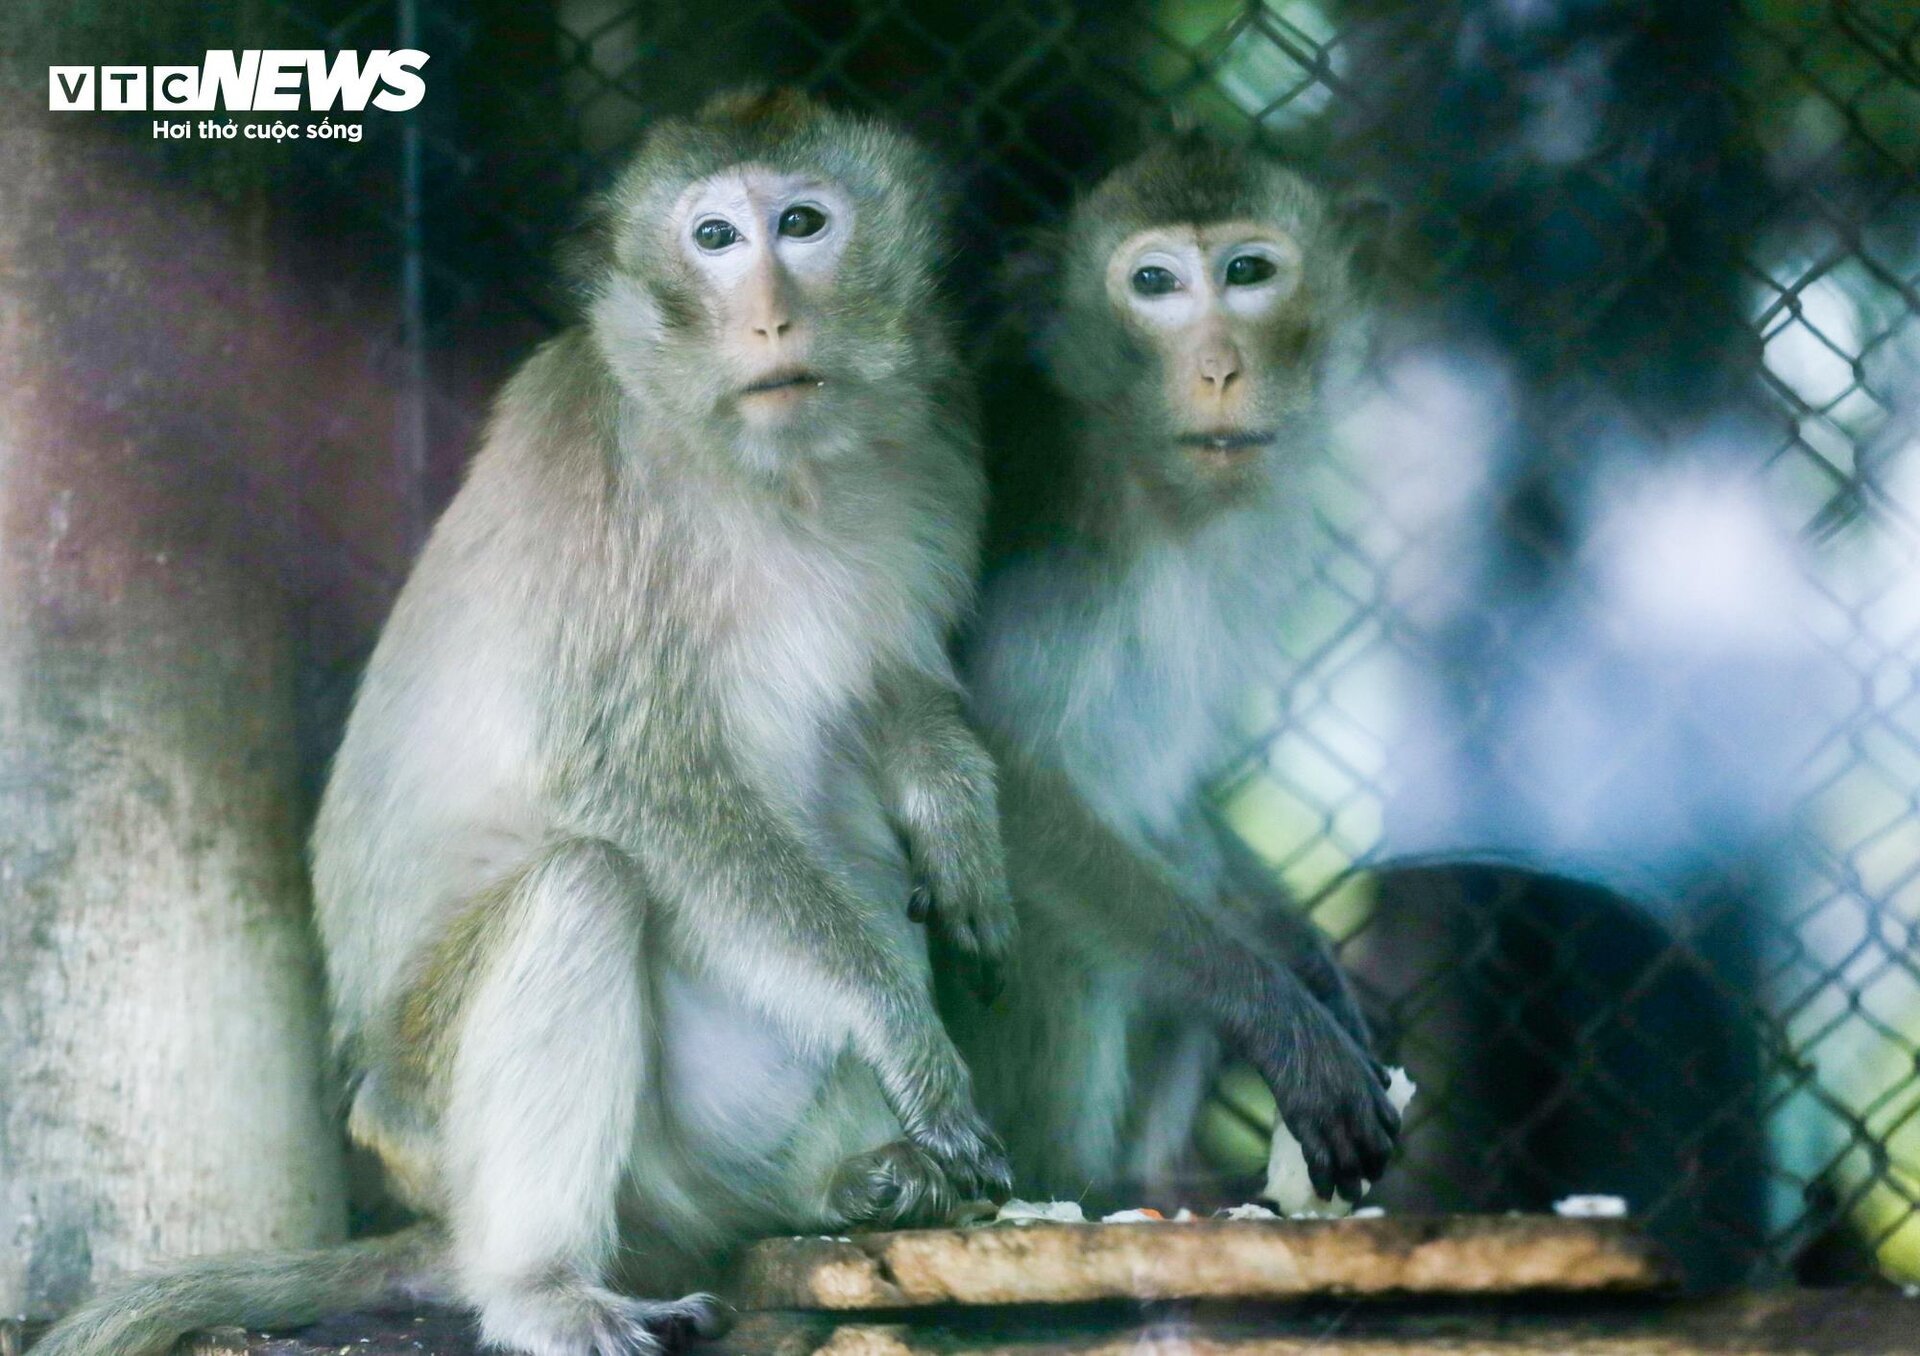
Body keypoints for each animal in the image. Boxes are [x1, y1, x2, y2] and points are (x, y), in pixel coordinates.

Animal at [37, 87, 1013, 1352]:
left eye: (803, 223)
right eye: (714, 239)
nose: (770, 319)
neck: (774, 471)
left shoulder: (942, 430)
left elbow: (896, 692)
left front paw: (956, 808)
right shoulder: (610, 474)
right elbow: (628, 779)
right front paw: (902, 1030)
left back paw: (858, 1180)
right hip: (449, 1120)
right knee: (583, 886)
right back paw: (541, 1288)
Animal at [940, 137, 1405, 1206]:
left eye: (1250, 271)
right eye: (1154, 284)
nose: (1220, 366)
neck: (1147, 483)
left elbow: (1177, 798)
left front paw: (1309, 967)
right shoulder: (1043, 517)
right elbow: (1009, 788)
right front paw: (1284, 1021)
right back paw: (1071, 1184)